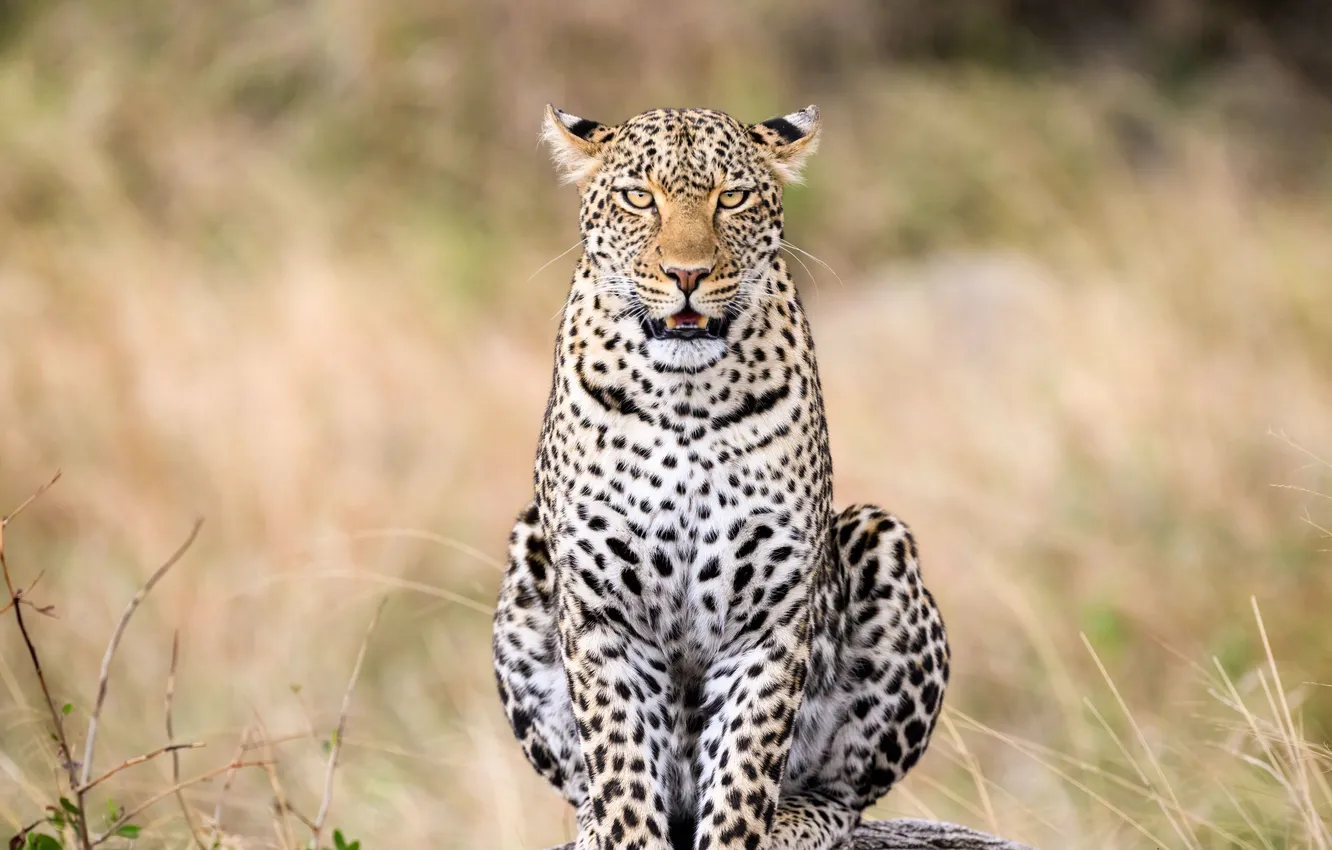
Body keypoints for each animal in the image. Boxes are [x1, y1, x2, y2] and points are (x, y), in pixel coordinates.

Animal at [492, 104, 950, 850]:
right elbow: (621, 771)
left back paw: (798, 821)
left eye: (730, 198)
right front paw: (621, 830)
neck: (685, 399)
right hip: (529, 550)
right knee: (587, 788)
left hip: (879, 537)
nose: (688, 274)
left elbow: (743, 775)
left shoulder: (770, 620)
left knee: (846, 793)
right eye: (639, 197)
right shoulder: (600, 615)